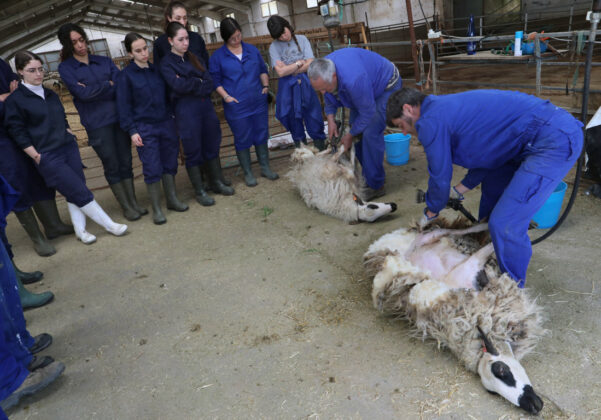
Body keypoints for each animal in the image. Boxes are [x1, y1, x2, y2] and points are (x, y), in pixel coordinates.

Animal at [364, 218, 548, 416]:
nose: (533, 406)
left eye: (501, 369)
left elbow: (489, 247)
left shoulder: (472, 264)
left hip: (433, 236)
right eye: (491, 392)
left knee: (460, 230)